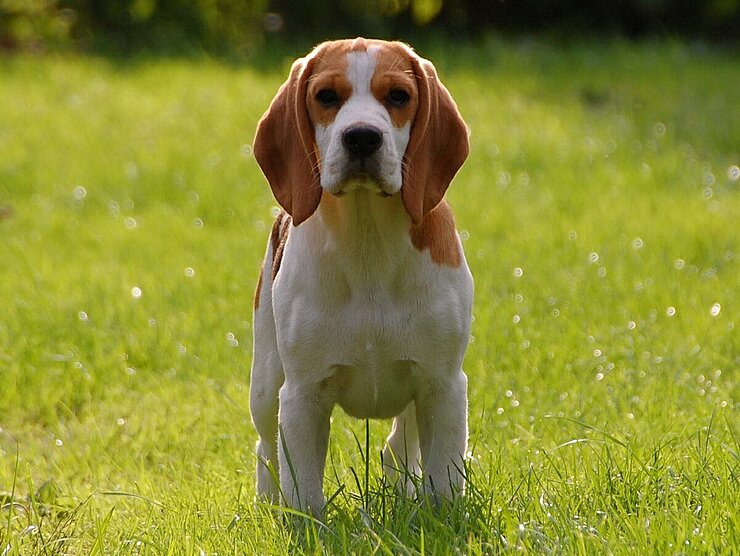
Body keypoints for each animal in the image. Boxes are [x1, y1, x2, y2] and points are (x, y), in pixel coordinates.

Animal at [247, 37, 468, 516]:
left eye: (399, 97)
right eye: (326, 96)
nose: (362, 136)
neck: (368, 241)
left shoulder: (442, 385)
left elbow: (443, 480)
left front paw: (440, 517)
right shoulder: (302, 394)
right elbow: (303, 489)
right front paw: (304, 521)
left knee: (398, 445)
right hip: (266, 386)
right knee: (266, 449)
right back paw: (268, 504)